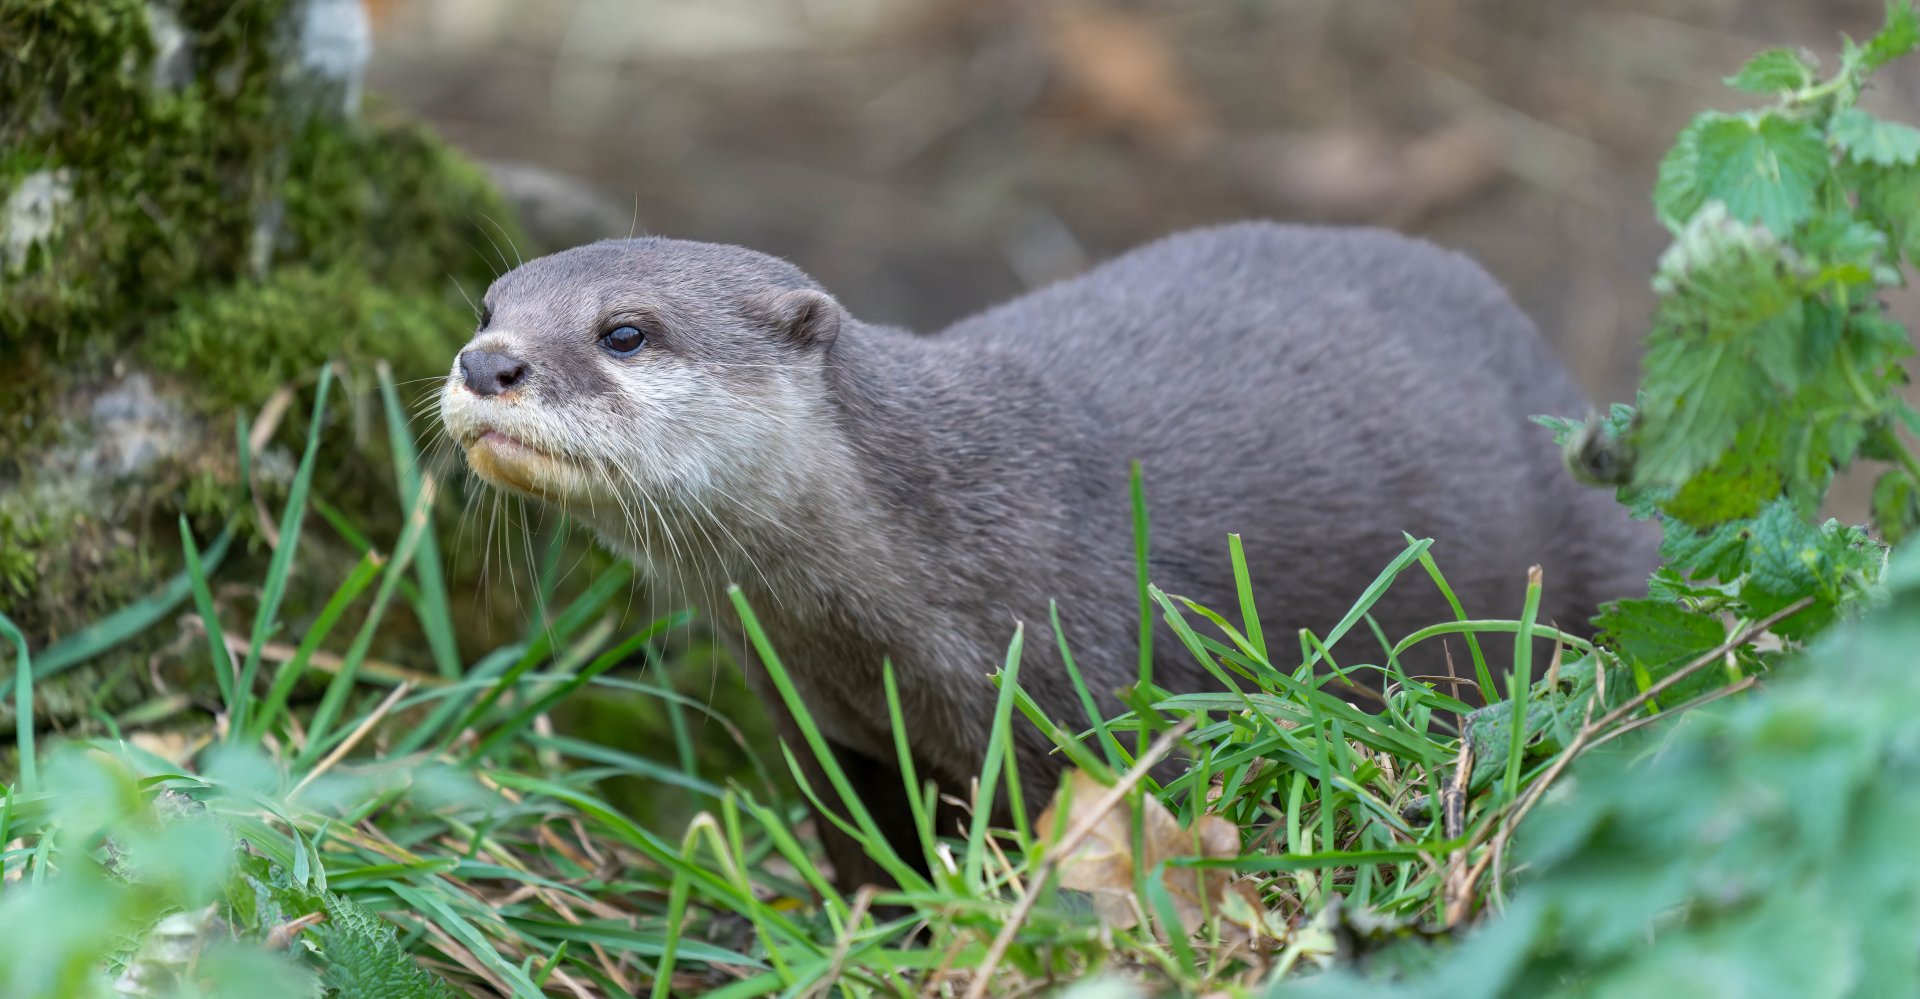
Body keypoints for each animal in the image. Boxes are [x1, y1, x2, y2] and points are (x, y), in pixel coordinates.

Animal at [439, 222, 1658, 891]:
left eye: (624, 332)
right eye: (489, 303)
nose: (486, 362)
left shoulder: (1072, 678)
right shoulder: (820, 725)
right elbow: (863, 853)